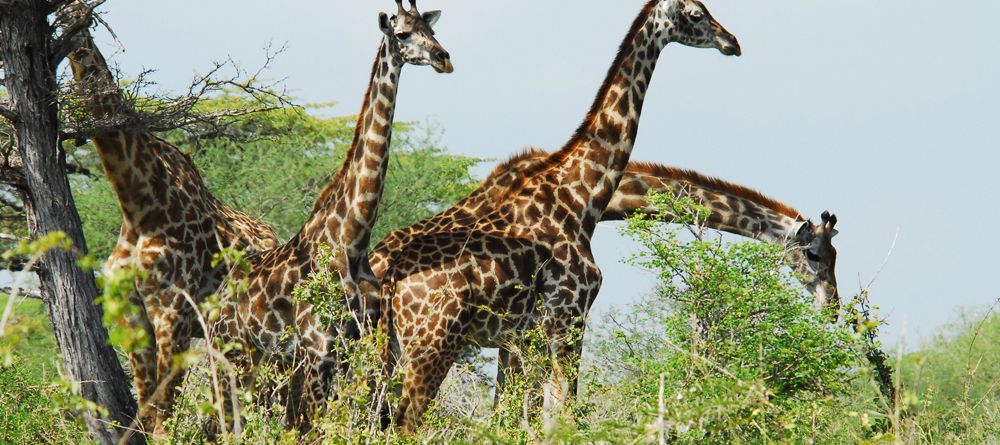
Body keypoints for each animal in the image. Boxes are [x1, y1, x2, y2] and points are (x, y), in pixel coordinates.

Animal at [64, 11, 280, 434]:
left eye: (80, 20)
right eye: (61, 16)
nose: (72, 48)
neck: (140, 204)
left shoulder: (172, 313)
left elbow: (164, 413)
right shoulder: (134, 313)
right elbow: (149, 412)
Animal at [213, 0, 456, 426]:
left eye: (432, 31)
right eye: (403, 33)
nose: (444, 58)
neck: (352, 239)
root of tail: (218, 297)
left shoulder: (355, 342)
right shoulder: (318, 345)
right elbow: (311, 425)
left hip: (259, 355)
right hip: (232, 349)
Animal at [376, 0, 744, 430]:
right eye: (697, 14)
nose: (732, 42)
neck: (581, 196)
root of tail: (387, 276)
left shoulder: (525, 335)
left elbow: (522, 417)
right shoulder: (568, 318)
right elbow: (565, 411)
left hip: (386, 345)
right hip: (431, 343)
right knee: (403, 419)